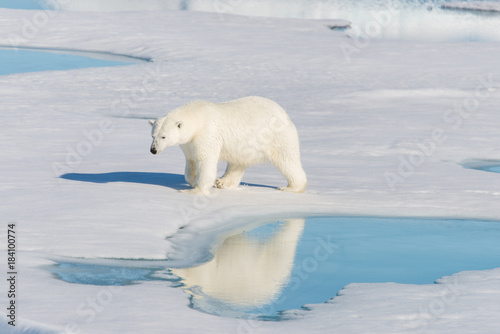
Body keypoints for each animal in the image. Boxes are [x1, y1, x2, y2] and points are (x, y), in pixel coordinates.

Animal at [148, 96, 306, 193]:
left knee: (286, 159)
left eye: (163, 136)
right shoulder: (188, 142)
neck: (197, 117)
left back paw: (290, 187)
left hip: (276, 136)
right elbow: (191, 161)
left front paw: (195, 190)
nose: (153, 150)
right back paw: (222, 182)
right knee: (238, 162)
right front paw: (193, 181)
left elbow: (205, 160)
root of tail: (284, 114)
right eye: (153, 135)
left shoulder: (207, 133)